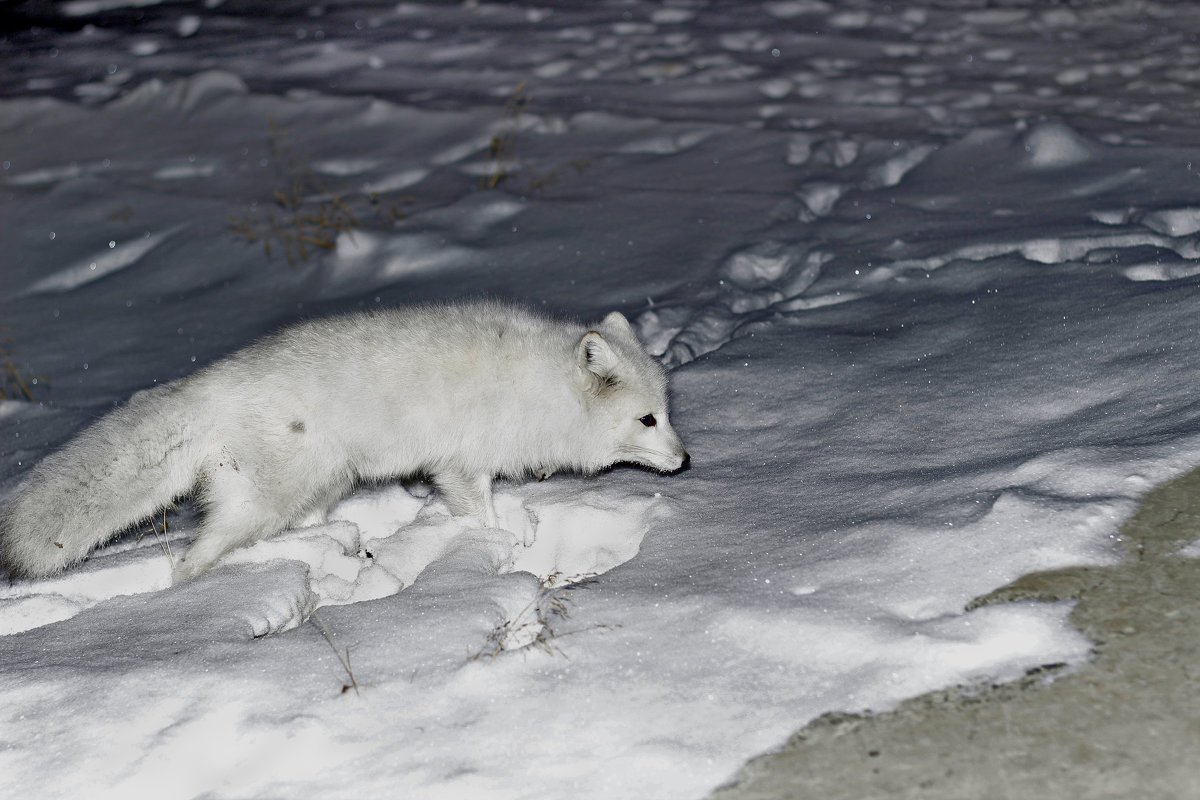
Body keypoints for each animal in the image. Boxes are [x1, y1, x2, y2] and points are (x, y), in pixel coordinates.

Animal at [0, 299, 686, 582]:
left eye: (666, 411)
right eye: (647, 420)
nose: (685, 460)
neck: (541, 386)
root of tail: (206, 386)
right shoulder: (460, 465)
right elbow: (480, 514)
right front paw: (499, 542)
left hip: (323, 485)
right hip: (266, 499)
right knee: (191, 562)